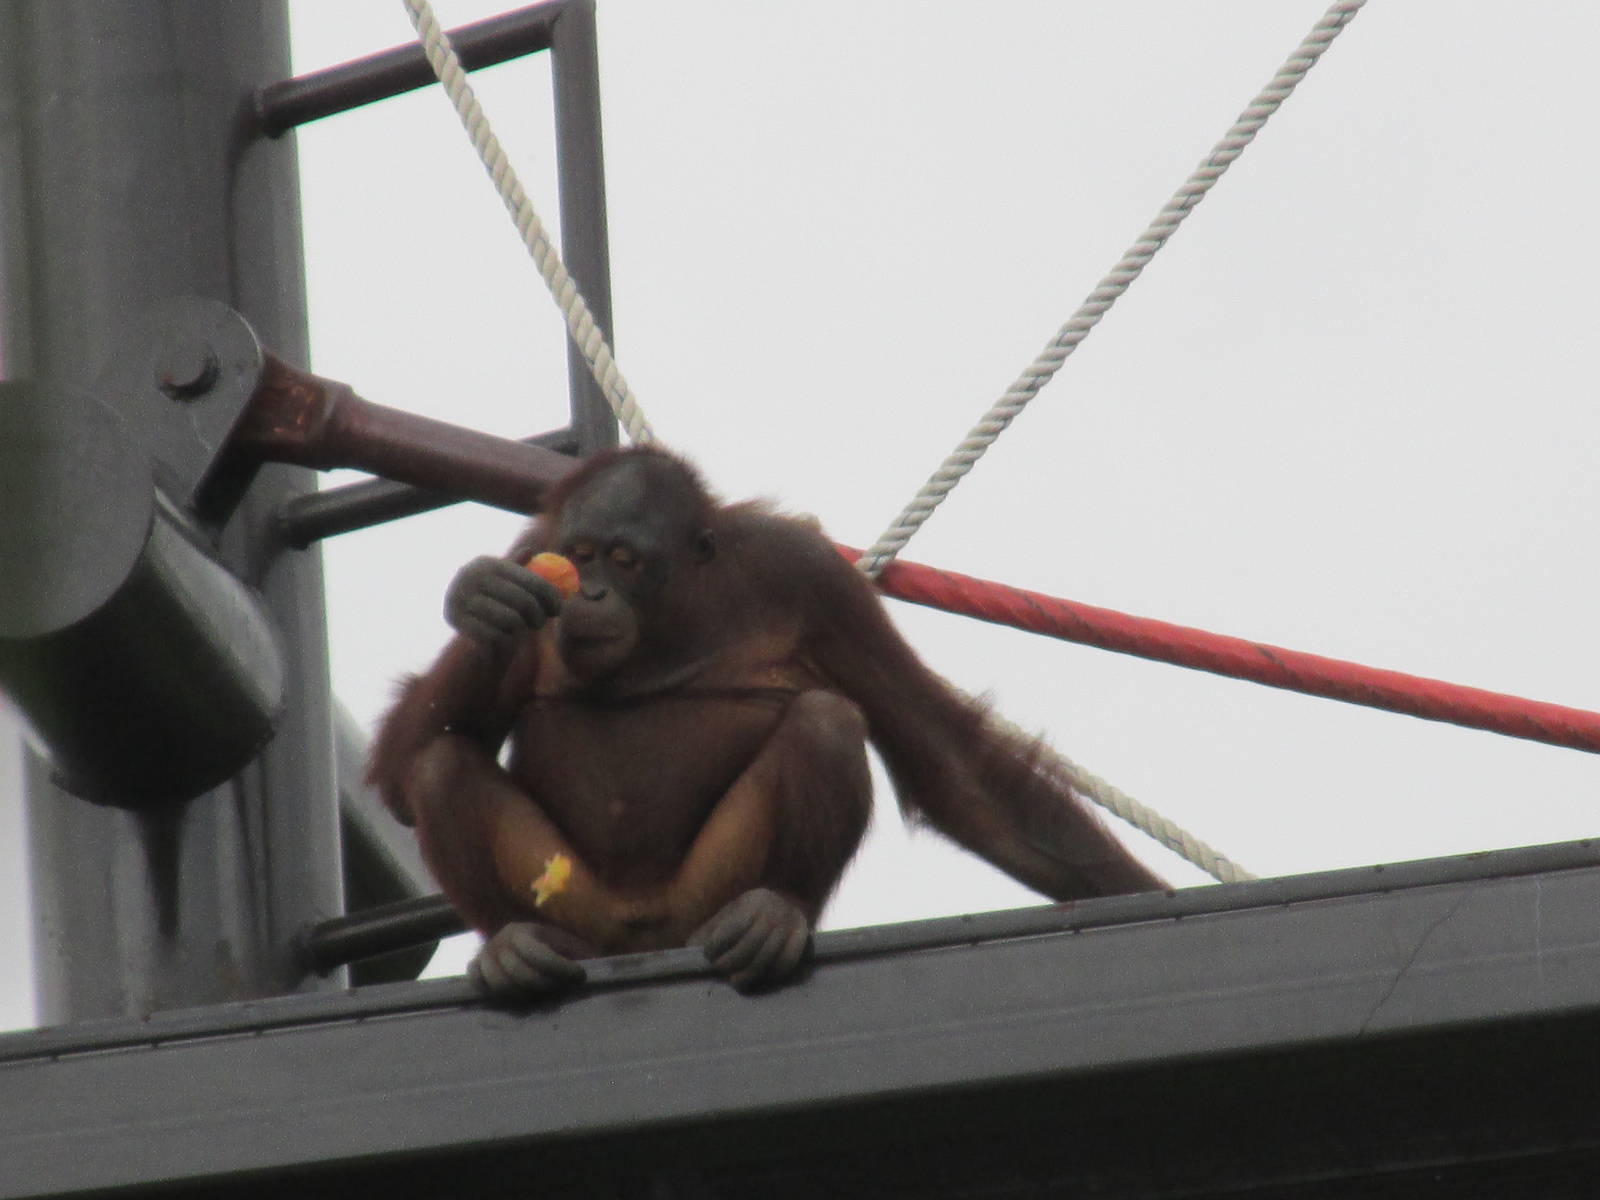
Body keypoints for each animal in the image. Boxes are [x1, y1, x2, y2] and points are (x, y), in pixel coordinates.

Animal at [367, 447, 1163, 995]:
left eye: (624, 560)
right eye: (583, 555)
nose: (588, 592)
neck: (674, 613)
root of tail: (643, 942)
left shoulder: (814, 577)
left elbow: (951, 769)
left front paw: (1141, 895)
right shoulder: (532, 550)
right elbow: (403, 778)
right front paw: (484, 602)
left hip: (704, 896)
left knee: (827, 720)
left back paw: (774, 915)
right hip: (582, 916)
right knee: (441, 764)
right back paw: (515, 945)